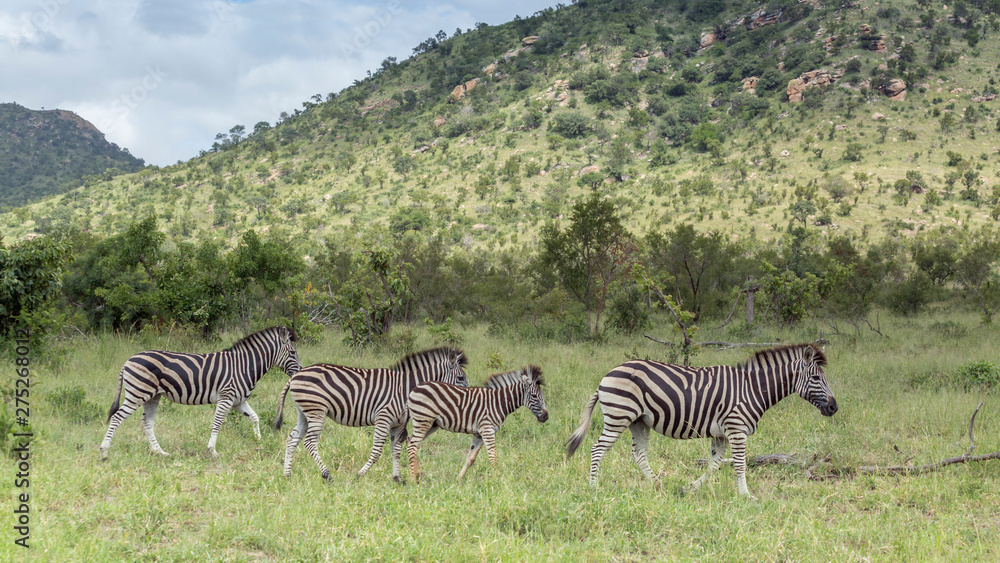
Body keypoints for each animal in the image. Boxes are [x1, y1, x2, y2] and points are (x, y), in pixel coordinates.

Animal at [100, 326, 301, 460]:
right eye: (292, 353)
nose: (299, 371)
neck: (244, 366)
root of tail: (128, 361)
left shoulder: (238, 401)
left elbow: (255, 418)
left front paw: (259, 445)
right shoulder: (226, 398)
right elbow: (217, 423)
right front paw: (213, 450)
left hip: (152, 397)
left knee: (147, 423)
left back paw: (160, 452)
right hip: (137, 393)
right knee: (117, 417)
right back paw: (104, 451)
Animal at [273, 347, 469, 482]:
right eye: (460, 378)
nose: (466, 395)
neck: (405, 389)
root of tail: (295, 375)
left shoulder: (398, 423)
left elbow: (396, 450)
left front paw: (397, 479)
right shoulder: (384, 418)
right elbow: (377, 452)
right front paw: (359, 475)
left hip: (304, 412)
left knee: (292, 439)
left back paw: (286, 475)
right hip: (316, 410)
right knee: (309, 442)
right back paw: (327, 474)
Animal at [406, 365, 548, 483]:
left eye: (542, 395)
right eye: (534, 396)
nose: (546, 416)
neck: (499, 402)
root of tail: (415, 388)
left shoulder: (479, 433)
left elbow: (471, 458)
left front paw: (458, 479)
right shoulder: (487, 430)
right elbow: (493, 456)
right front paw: (498, 480)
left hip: (431, 425)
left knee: (410, 441)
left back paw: (418, 475)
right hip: (423, 421)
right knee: (413, 446)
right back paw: (413, 481)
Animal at [566, 343, 837, 498]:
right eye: (815, 378)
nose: (834, 407)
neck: (752, 388)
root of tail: (607, 376)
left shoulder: (720, 434)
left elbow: (713, 465)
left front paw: (689, 489)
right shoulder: (736, 429)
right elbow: (740, 465)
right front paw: (746, 495)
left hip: (640, 421)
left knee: (639, 454)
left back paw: (657, 485)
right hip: (619, 416)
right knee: (597, 449)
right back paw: (593, 489)